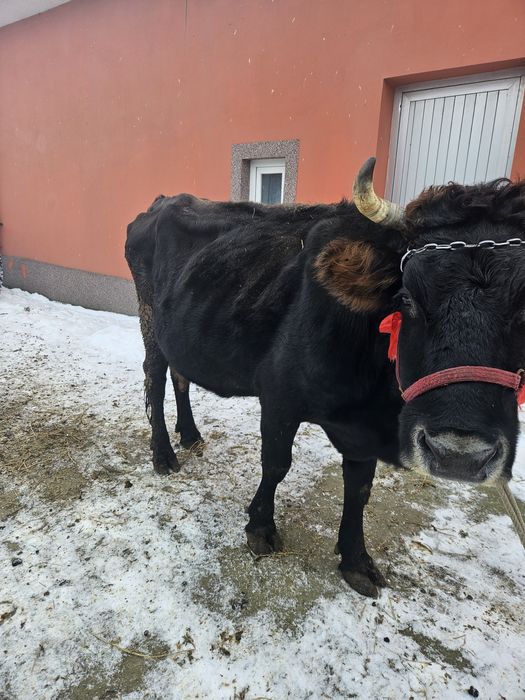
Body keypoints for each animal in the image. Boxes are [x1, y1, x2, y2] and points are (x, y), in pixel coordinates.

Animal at [125, 158, 525, 597]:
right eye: (407, 299)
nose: (459, 454)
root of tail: (163, 201)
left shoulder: (362, 433)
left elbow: (360, 488)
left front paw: (356, 560)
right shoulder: (278, 397)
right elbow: (276, 464)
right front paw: (260, 527)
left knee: (181, 376)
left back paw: (191, 434)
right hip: (149, 319)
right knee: (155, 378)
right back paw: (164, 453)